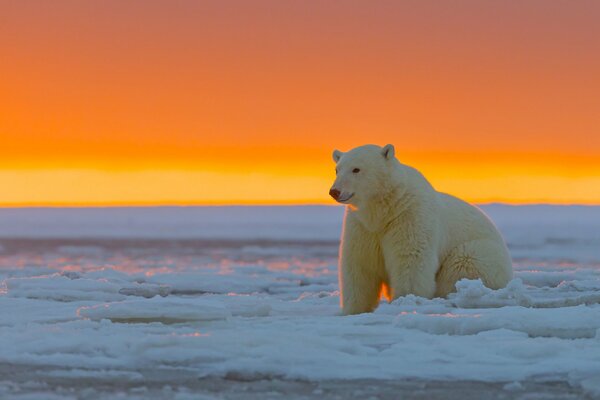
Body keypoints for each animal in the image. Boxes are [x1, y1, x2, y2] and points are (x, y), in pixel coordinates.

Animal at [328, 144, 510, 316]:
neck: (384, 209)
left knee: (464, 263)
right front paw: (353, 310)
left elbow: (410, 259)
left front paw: (406, 300)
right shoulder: (362, 226)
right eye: (337, 169)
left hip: (481, 253)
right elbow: (359, 264)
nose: (334, 191)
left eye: (356, 169)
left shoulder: (409, 216)